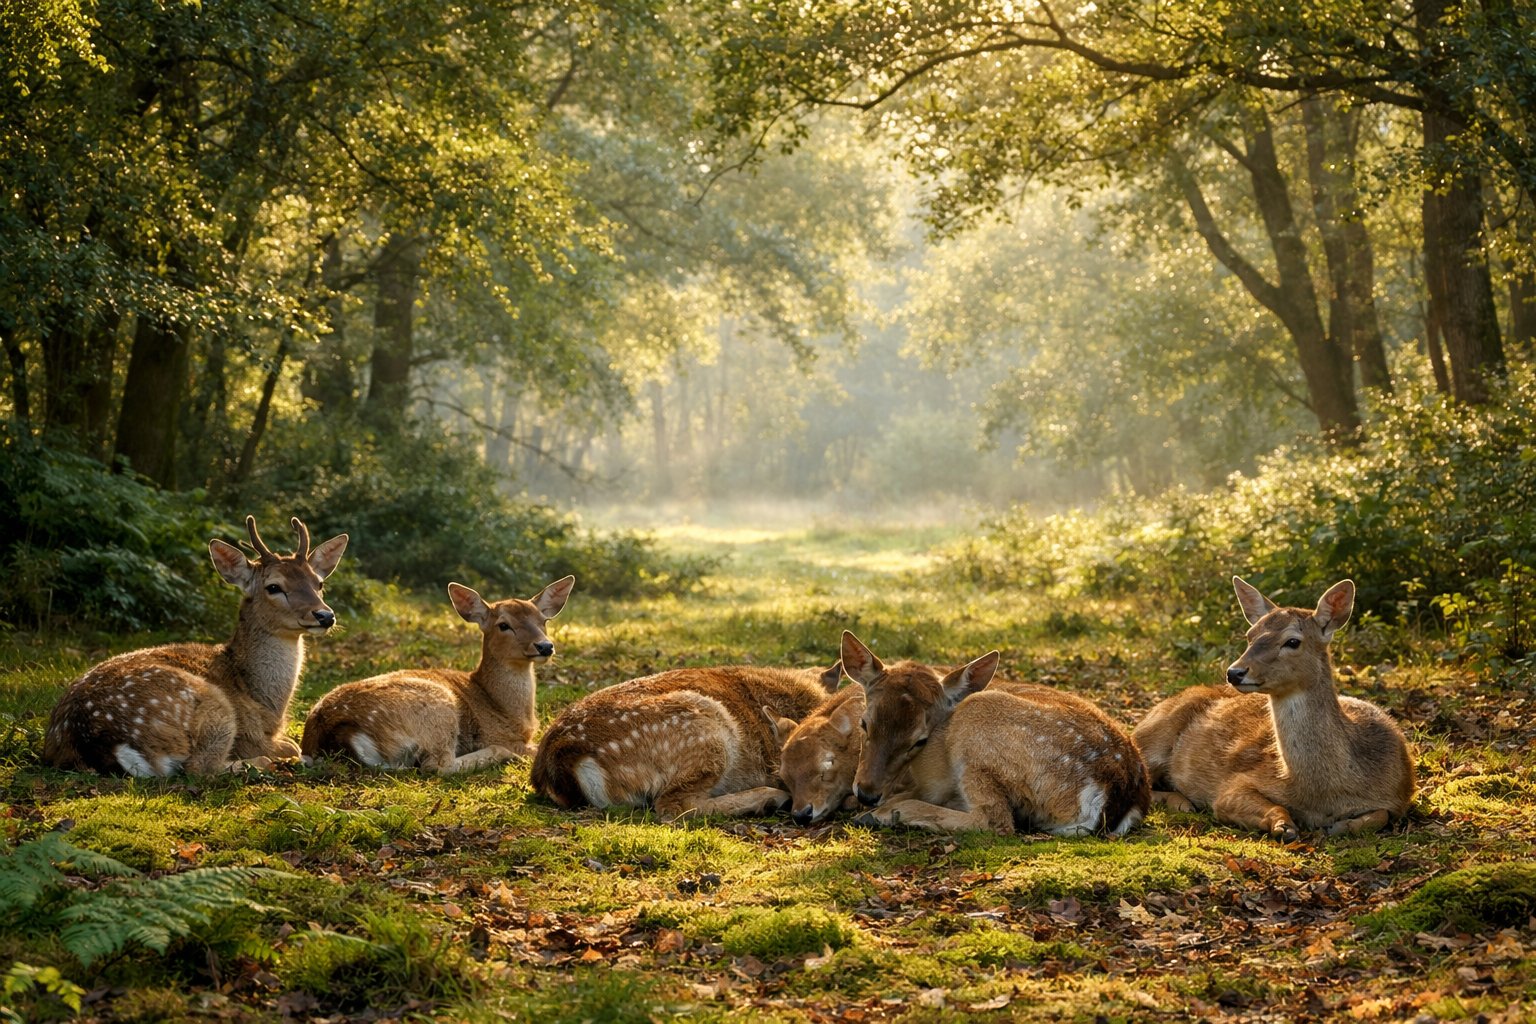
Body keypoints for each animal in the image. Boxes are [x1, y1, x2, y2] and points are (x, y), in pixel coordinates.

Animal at [42, 517, 348, 776]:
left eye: (319, 583)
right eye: (274, 587)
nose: (325, 615)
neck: (265, 701)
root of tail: (100, 741)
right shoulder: (251, 735)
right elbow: (289, 744)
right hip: (214, 707)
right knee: (199, 767)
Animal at [300, 576, 574, 773]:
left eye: (543, 620)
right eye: (503, 625)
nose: (545, 646)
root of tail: (338, 733)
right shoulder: (498, 733)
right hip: (438, 707)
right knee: (438, 766)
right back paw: (501, 754)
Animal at [842, 631, 1150, 836]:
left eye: (921, 740)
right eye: (864, 723)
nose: (867, 794)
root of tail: (1112, 797)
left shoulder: (934, 782)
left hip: (976, 723)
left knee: (995, 820)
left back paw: (883, 815)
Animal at [1133, 578, 1414, 840]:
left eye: (1292, 641)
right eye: (1250, 635)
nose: (1235, 672)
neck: (1322, 795)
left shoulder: (1398, 796)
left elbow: (1381, 815)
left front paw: (1339, 826)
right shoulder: (1234, 785)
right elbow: (1263, 806)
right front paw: (1285, 827)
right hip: (1152, 737)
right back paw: (1182, 803)